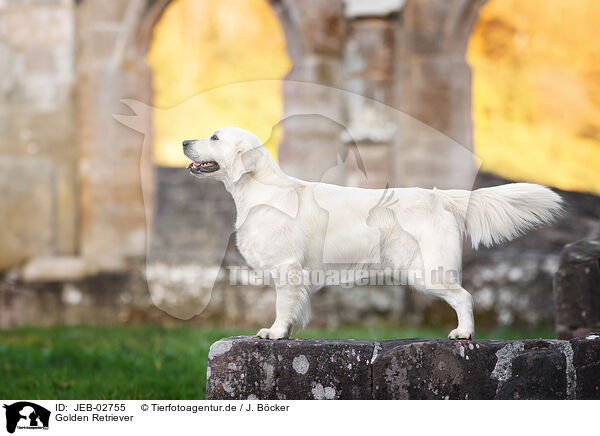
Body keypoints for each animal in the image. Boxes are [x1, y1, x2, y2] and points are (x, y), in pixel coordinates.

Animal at [182, 126, 564, 340]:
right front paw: (285, 334)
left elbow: (281, 305)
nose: (185, 141)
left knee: (465, 297)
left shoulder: (286, 266)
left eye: (214, 137)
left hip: (426, 271)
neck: (260, 191)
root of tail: (438, 195)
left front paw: (273, 334)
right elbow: (291, 308)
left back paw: (464, 332)